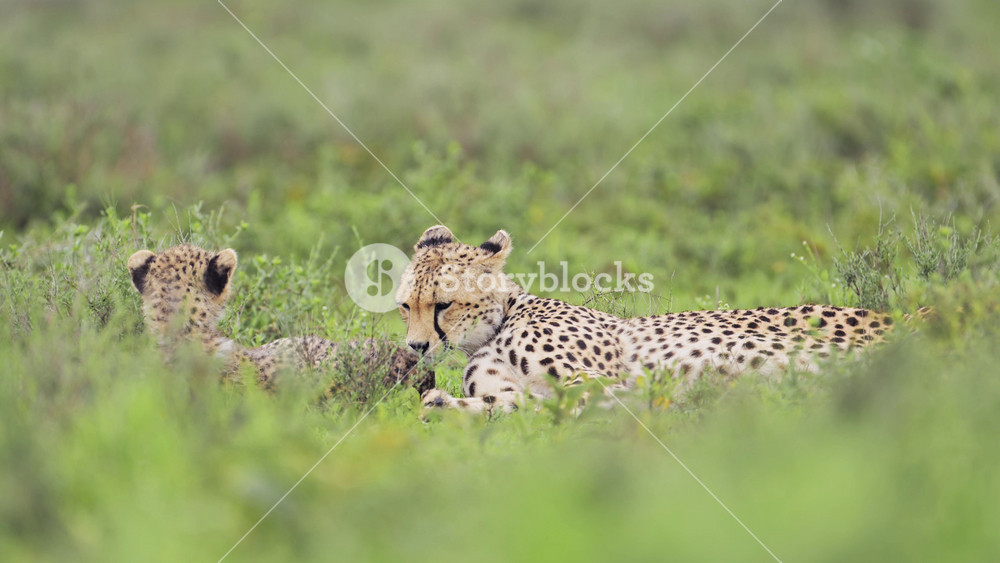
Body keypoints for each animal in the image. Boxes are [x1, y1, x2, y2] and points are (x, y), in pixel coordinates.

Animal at [396, 225, 908, 414]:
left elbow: (588, 403)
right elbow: (504, 406)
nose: (417, 347)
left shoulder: (600, 381)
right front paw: (440, 405)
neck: (497, 325)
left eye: (443, 304)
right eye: (405, 307)